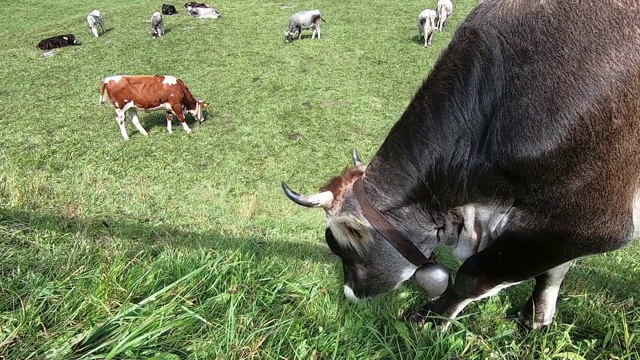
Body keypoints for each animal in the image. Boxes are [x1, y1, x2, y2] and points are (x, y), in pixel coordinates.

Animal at [282, 0, 640, 330]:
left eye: (339, 245)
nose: (349, 293)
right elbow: (552, 272)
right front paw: (536, 319)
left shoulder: (591, 220)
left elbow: (475, 274)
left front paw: (428, 319)